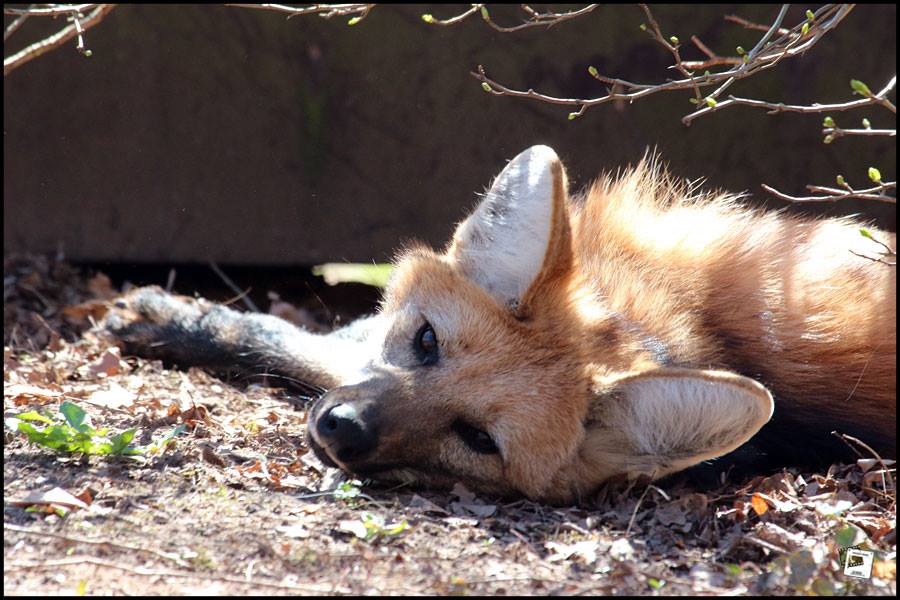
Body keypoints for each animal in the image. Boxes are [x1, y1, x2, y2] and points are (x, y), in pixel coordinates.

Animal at [103, 148, 892, 504]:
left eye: (478, 440)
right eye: (426, 343)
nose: (341, 431)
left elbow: (305, 350)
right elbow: (319, 348)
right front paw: (174, 319)